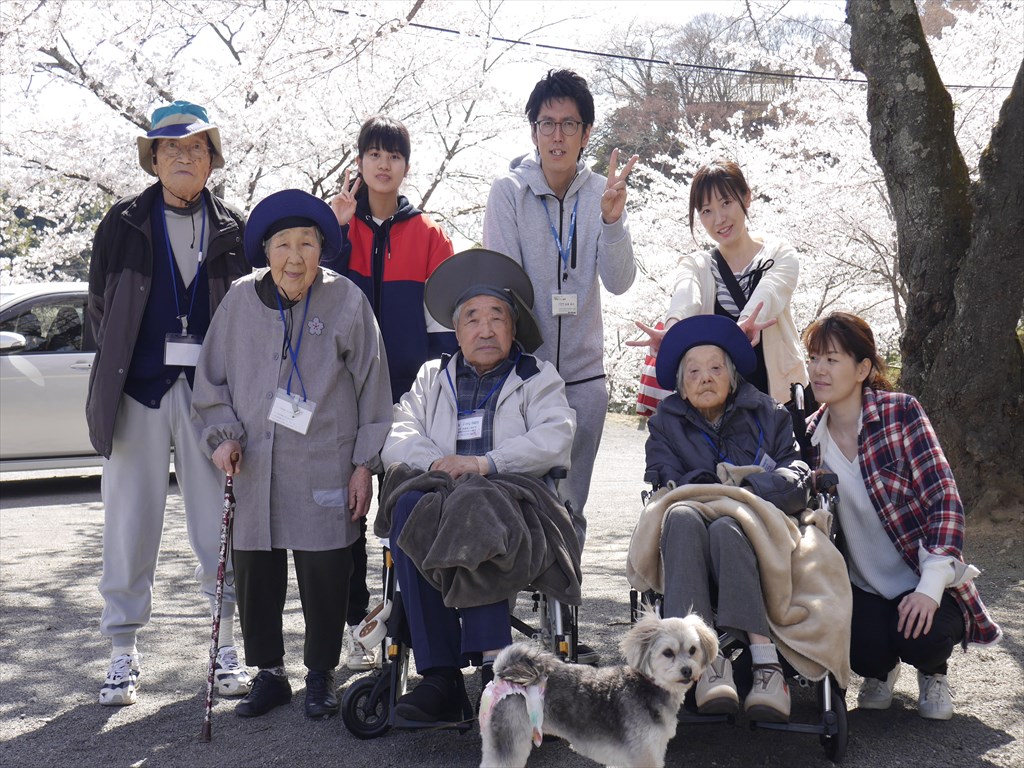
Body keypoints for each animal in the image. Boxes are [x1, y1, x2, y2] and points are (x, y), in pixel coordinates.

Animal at [479, 611, 718, 768]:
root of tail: (501, 673)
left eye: (693, 650)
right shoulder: (645, 756)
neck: (648, 686)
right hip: (509, 740)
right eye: (668, 653)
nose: (687, 670)